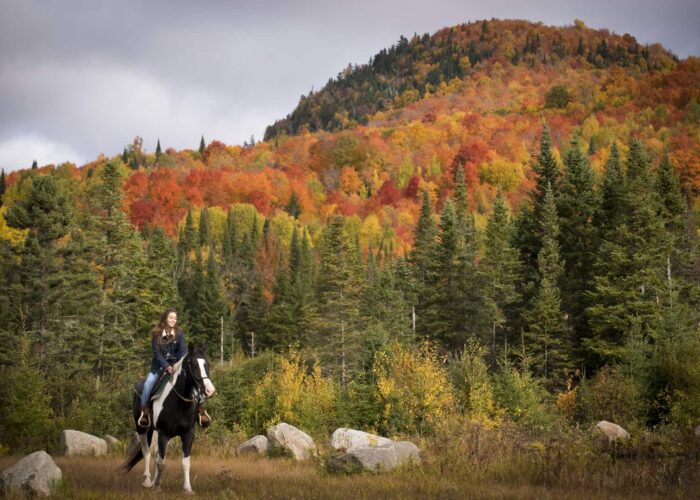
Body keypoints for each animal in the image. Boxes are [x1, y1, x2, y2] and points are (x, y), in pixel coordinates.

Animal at [121, 343, 215, 493]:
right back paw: (147, 481)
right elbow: (161, 462)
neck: (179, 403)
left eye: (207, 364)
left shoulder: (188, 434)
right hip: (142, 429)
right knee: (146, 452)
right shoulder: (163, 433)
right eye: (193, 364)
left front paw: (188, 488)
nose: (210, 390)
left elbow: (185, 462)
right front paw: (156, 486)